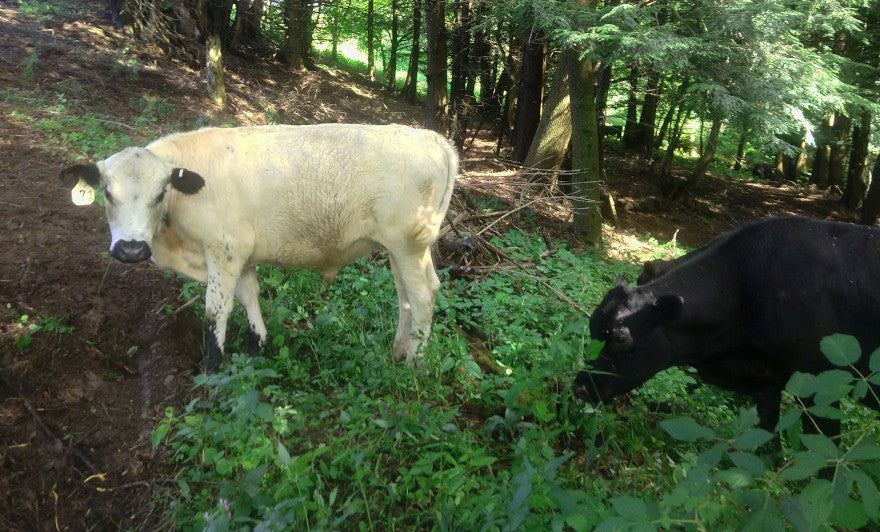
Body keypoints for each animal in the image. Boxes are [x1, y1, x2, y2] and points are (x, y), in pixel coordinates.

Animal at [59, 124, 459, 372]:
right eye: (107, 193)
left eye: (160, 194)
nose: (130, 249)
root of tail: (431, 138)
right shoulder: (241, 253)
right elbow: (249, 294)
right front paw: (257, 346)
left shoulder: (223, 249)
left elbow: (216, 310)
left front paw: (212, 369)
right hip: (396, 248)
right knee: (406, 296)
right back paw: (397, 352)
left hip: (408, 244)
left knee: (423, 295)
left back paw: (415, 364)